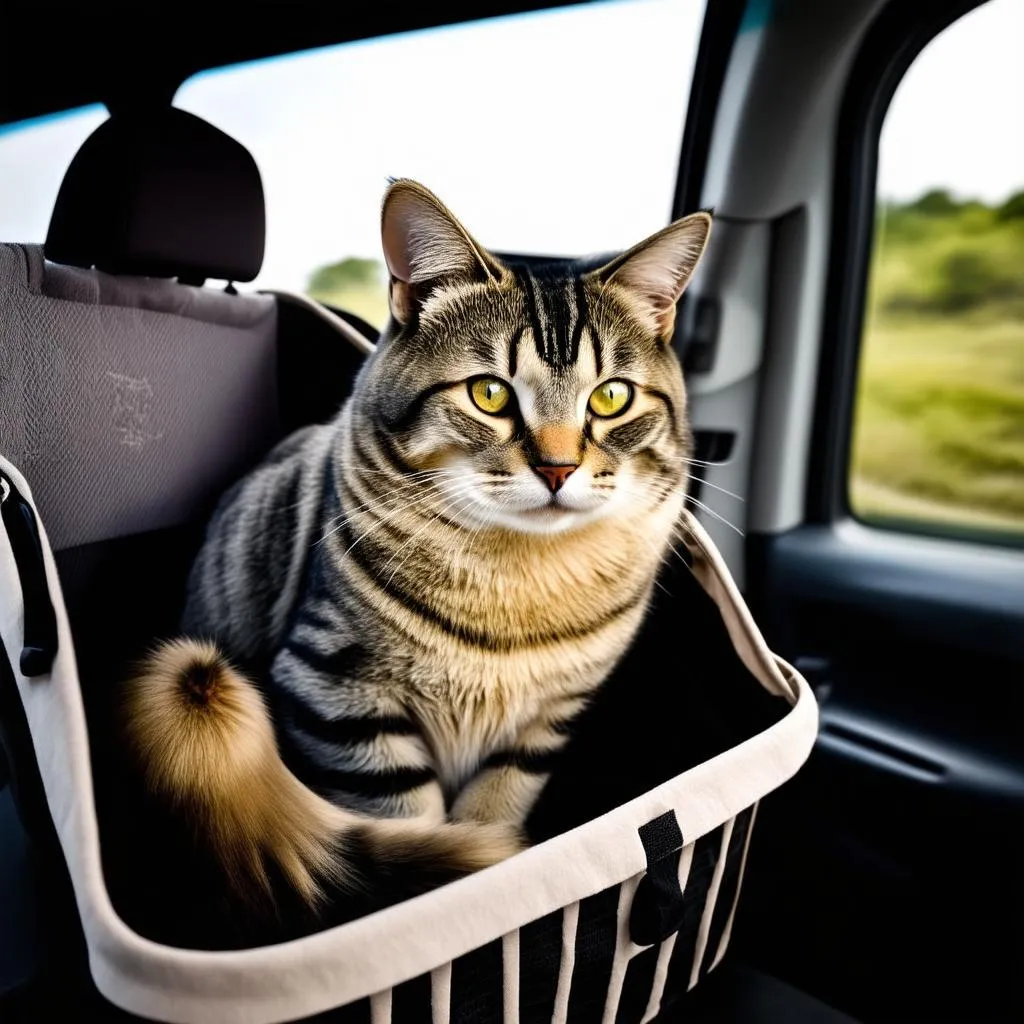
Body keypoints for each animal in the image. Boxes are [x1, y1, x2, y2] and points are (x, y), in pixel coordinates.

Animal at [121, 176, 712, 913]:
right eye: (489, 394)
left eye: (610, 398)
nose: (557, 469)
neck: (522, 580)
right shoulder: (338, 695)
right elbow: (414, 827)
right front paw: (450, 882)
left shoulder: (541, 728)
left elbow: (495, 811)